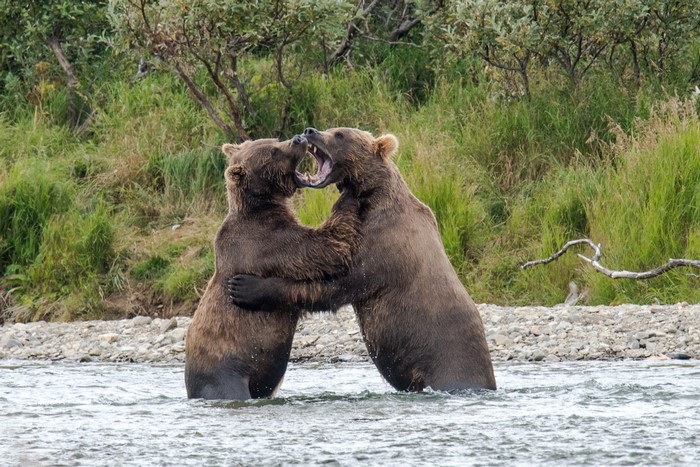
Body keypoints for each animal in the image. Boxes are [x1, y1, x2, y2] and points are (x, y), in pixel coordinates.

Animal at [185, 134, 362, 400]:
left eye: (274, 140)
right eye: (273, 152)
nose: (297, 138)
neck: (261, 205)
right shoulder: (269, 243)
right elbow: (321, 250)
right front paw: (351, 197)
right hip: (224, 374)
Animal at [229, 127, 497, 392]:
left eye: (339, 134)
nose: (310, 130)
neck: (372, 197)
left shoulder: (383, 247)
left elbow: (335, 283)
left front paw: (247, 287)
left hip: (449, 362)